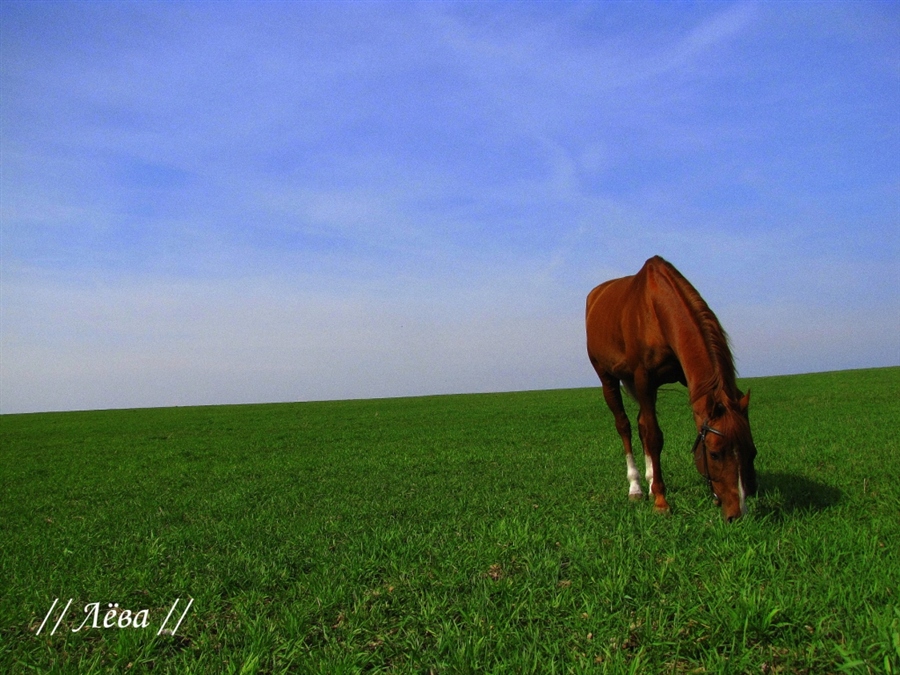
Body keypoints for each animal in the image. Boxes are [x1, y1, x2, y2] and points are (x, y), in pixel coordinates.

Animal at [588, 256, 756, 520]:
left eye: (752, 451)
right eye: (715, 453)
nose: (737, 514)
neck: (656, 309)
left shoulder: (684, 378)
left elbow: (651, 430)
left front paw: (656, 487)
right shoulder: (643, 379)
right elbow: (655, 437)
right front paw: (660, 501)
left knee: (641, 424)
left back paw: (649, 481)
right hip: (608, 378)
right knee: (624, 426)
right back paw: (636, 487)